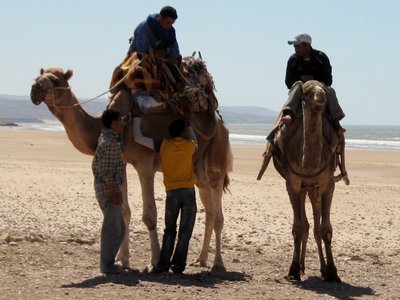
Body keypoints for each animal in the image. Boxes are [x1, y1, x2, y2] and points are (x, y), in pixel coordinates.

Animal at [30, 66, 234, 272]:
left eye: (55, 80)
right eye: (37, 78)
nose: (35, 89)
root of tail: (221, 123)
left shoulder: (145, 164)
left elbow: (150, 215)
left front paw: (154, 262)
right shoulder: (122, 162)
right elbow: (124, 212)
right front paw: (123, 260)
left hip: (216, 160)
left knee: (218, 214)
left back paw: (217, 263)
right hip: (198, 172)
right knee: (209, 211)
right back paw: (200, 259)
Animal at [258, 79, 342, 282]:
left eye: (324, 90)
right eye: (307, 91)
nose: (321, 96)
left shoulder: (327, 183)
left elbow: (325, 229)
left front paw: (332, 272)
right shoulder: (293, 183)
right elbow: (297, 228)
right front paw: (293, 270)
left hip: (313, 188)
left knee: (315, 226)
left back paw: (322, 268)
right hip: (305, 187)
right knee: (306, 225)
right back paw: (303, 266)